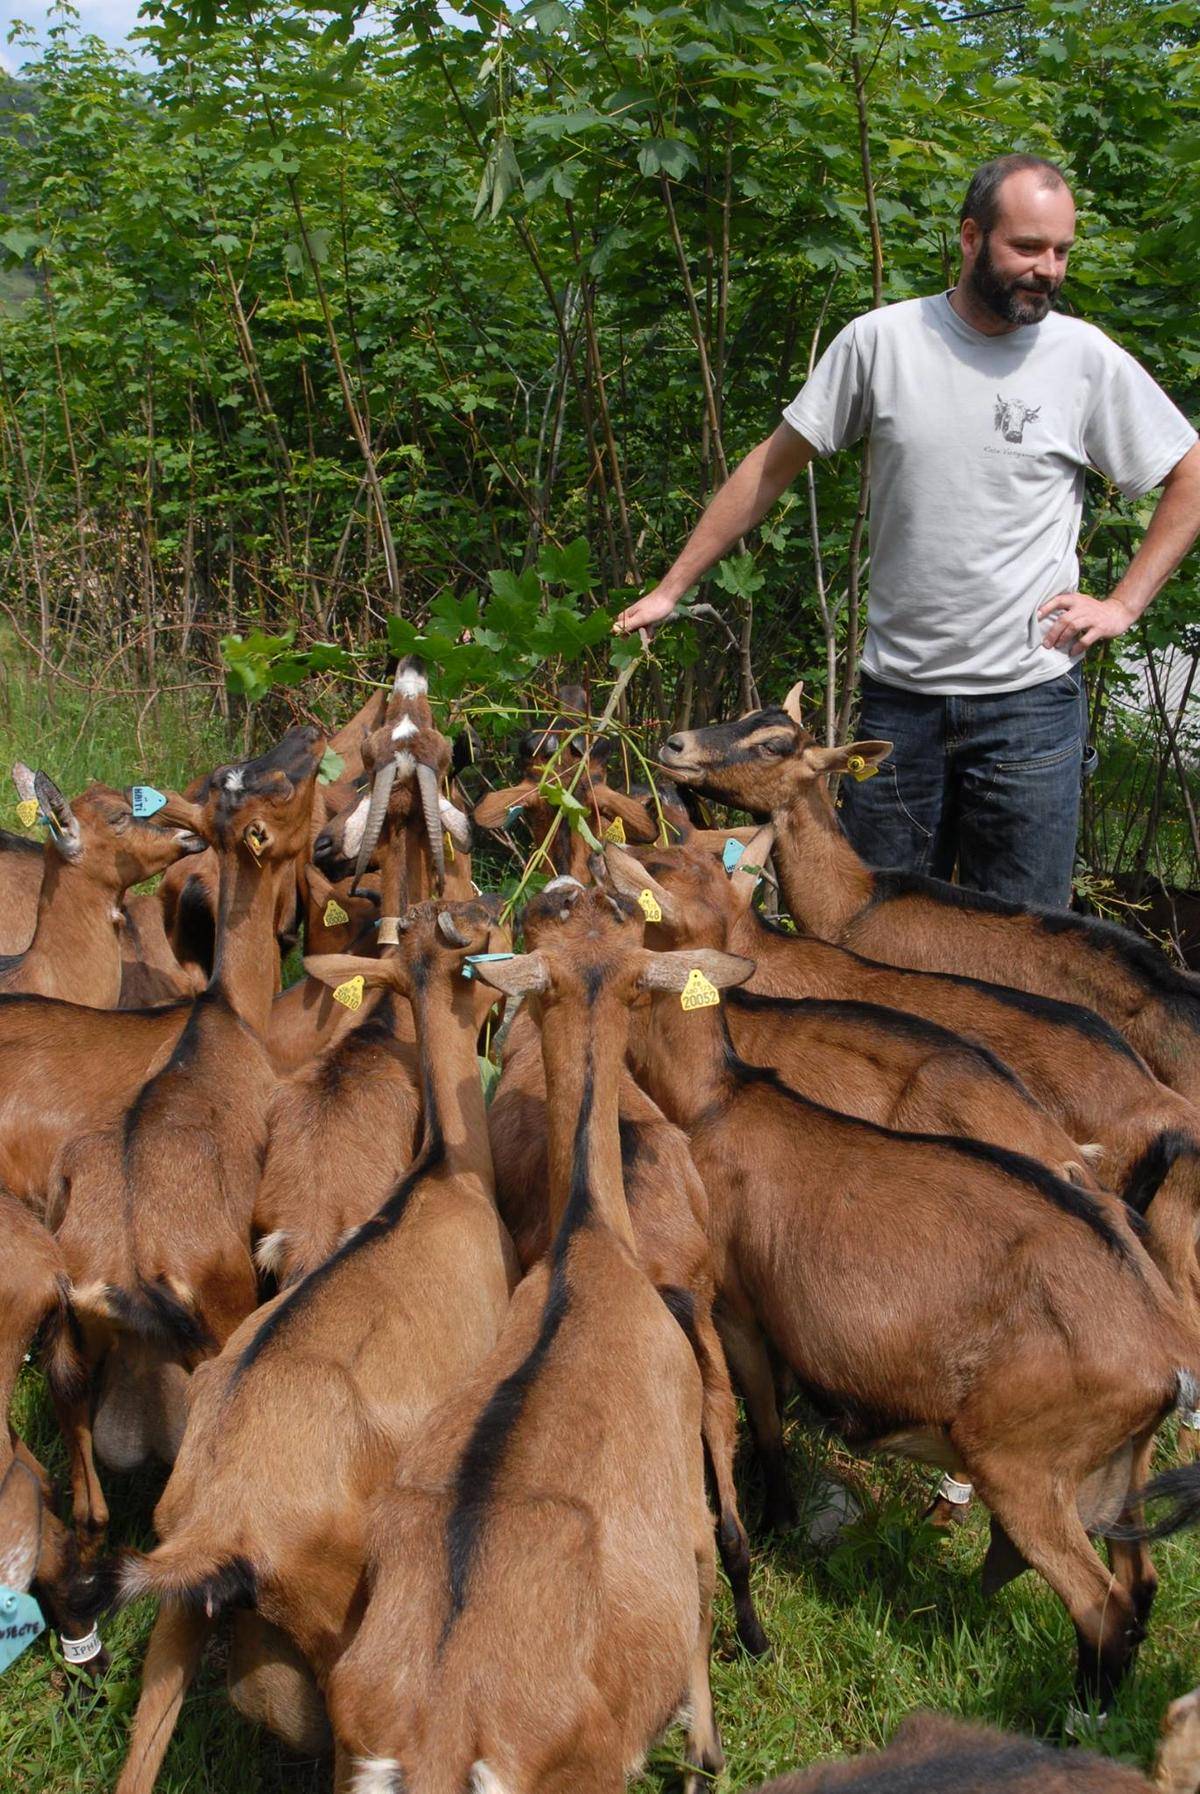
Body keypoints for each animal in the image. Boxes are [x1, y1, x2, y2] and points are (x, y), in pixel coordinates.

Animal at [624, 925, 1198, 1707]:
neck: (722, 1100)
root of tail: (1167, 1345)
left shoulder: (737, 1306)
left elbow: (764, 1418)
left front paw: (779, 1520)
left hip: (1026, 1470)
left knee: (1102, 1605)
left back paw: (1075, 1715)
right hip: (1121, 1469)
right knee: (1141, 1584)